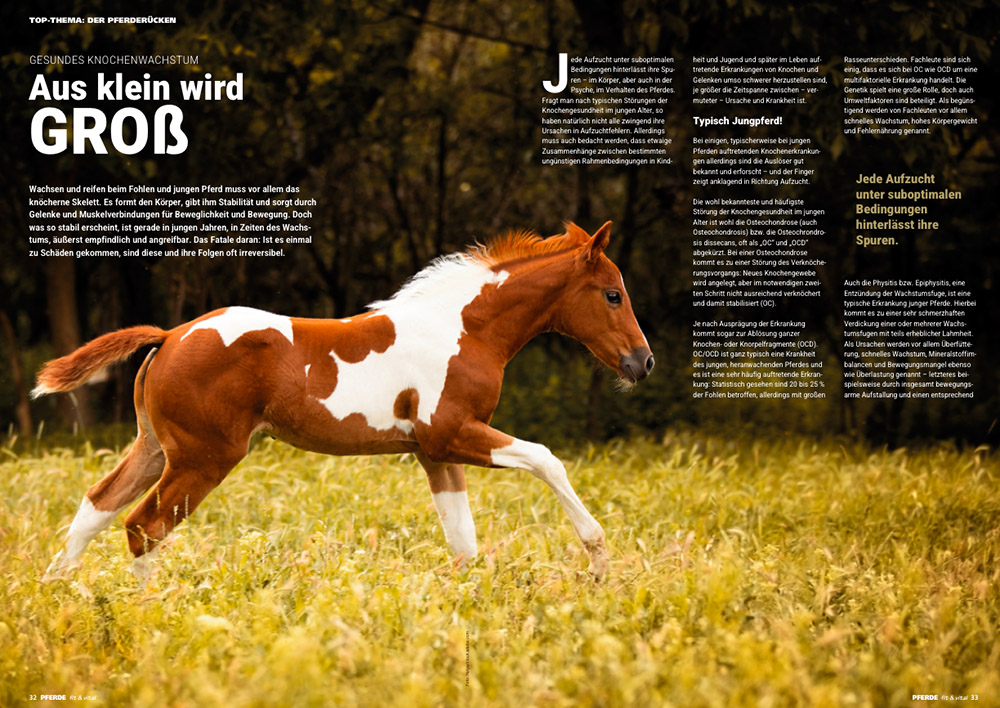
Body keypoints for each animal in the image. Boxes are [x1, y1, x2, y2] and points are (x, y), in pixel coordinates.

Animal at [35, 221, 653, 582]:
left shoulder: (434, 453)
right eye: (612, 294)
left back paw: (57, 592)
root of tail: (169, 337)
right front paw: (599, 560)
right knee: (145, 527)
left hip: (156, 449)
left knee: (97, 506)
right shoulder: (452, 433)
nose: (642, 362)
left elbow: (464, 544)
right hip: (203, 458)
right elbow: (548, 459)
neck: (463, 329)